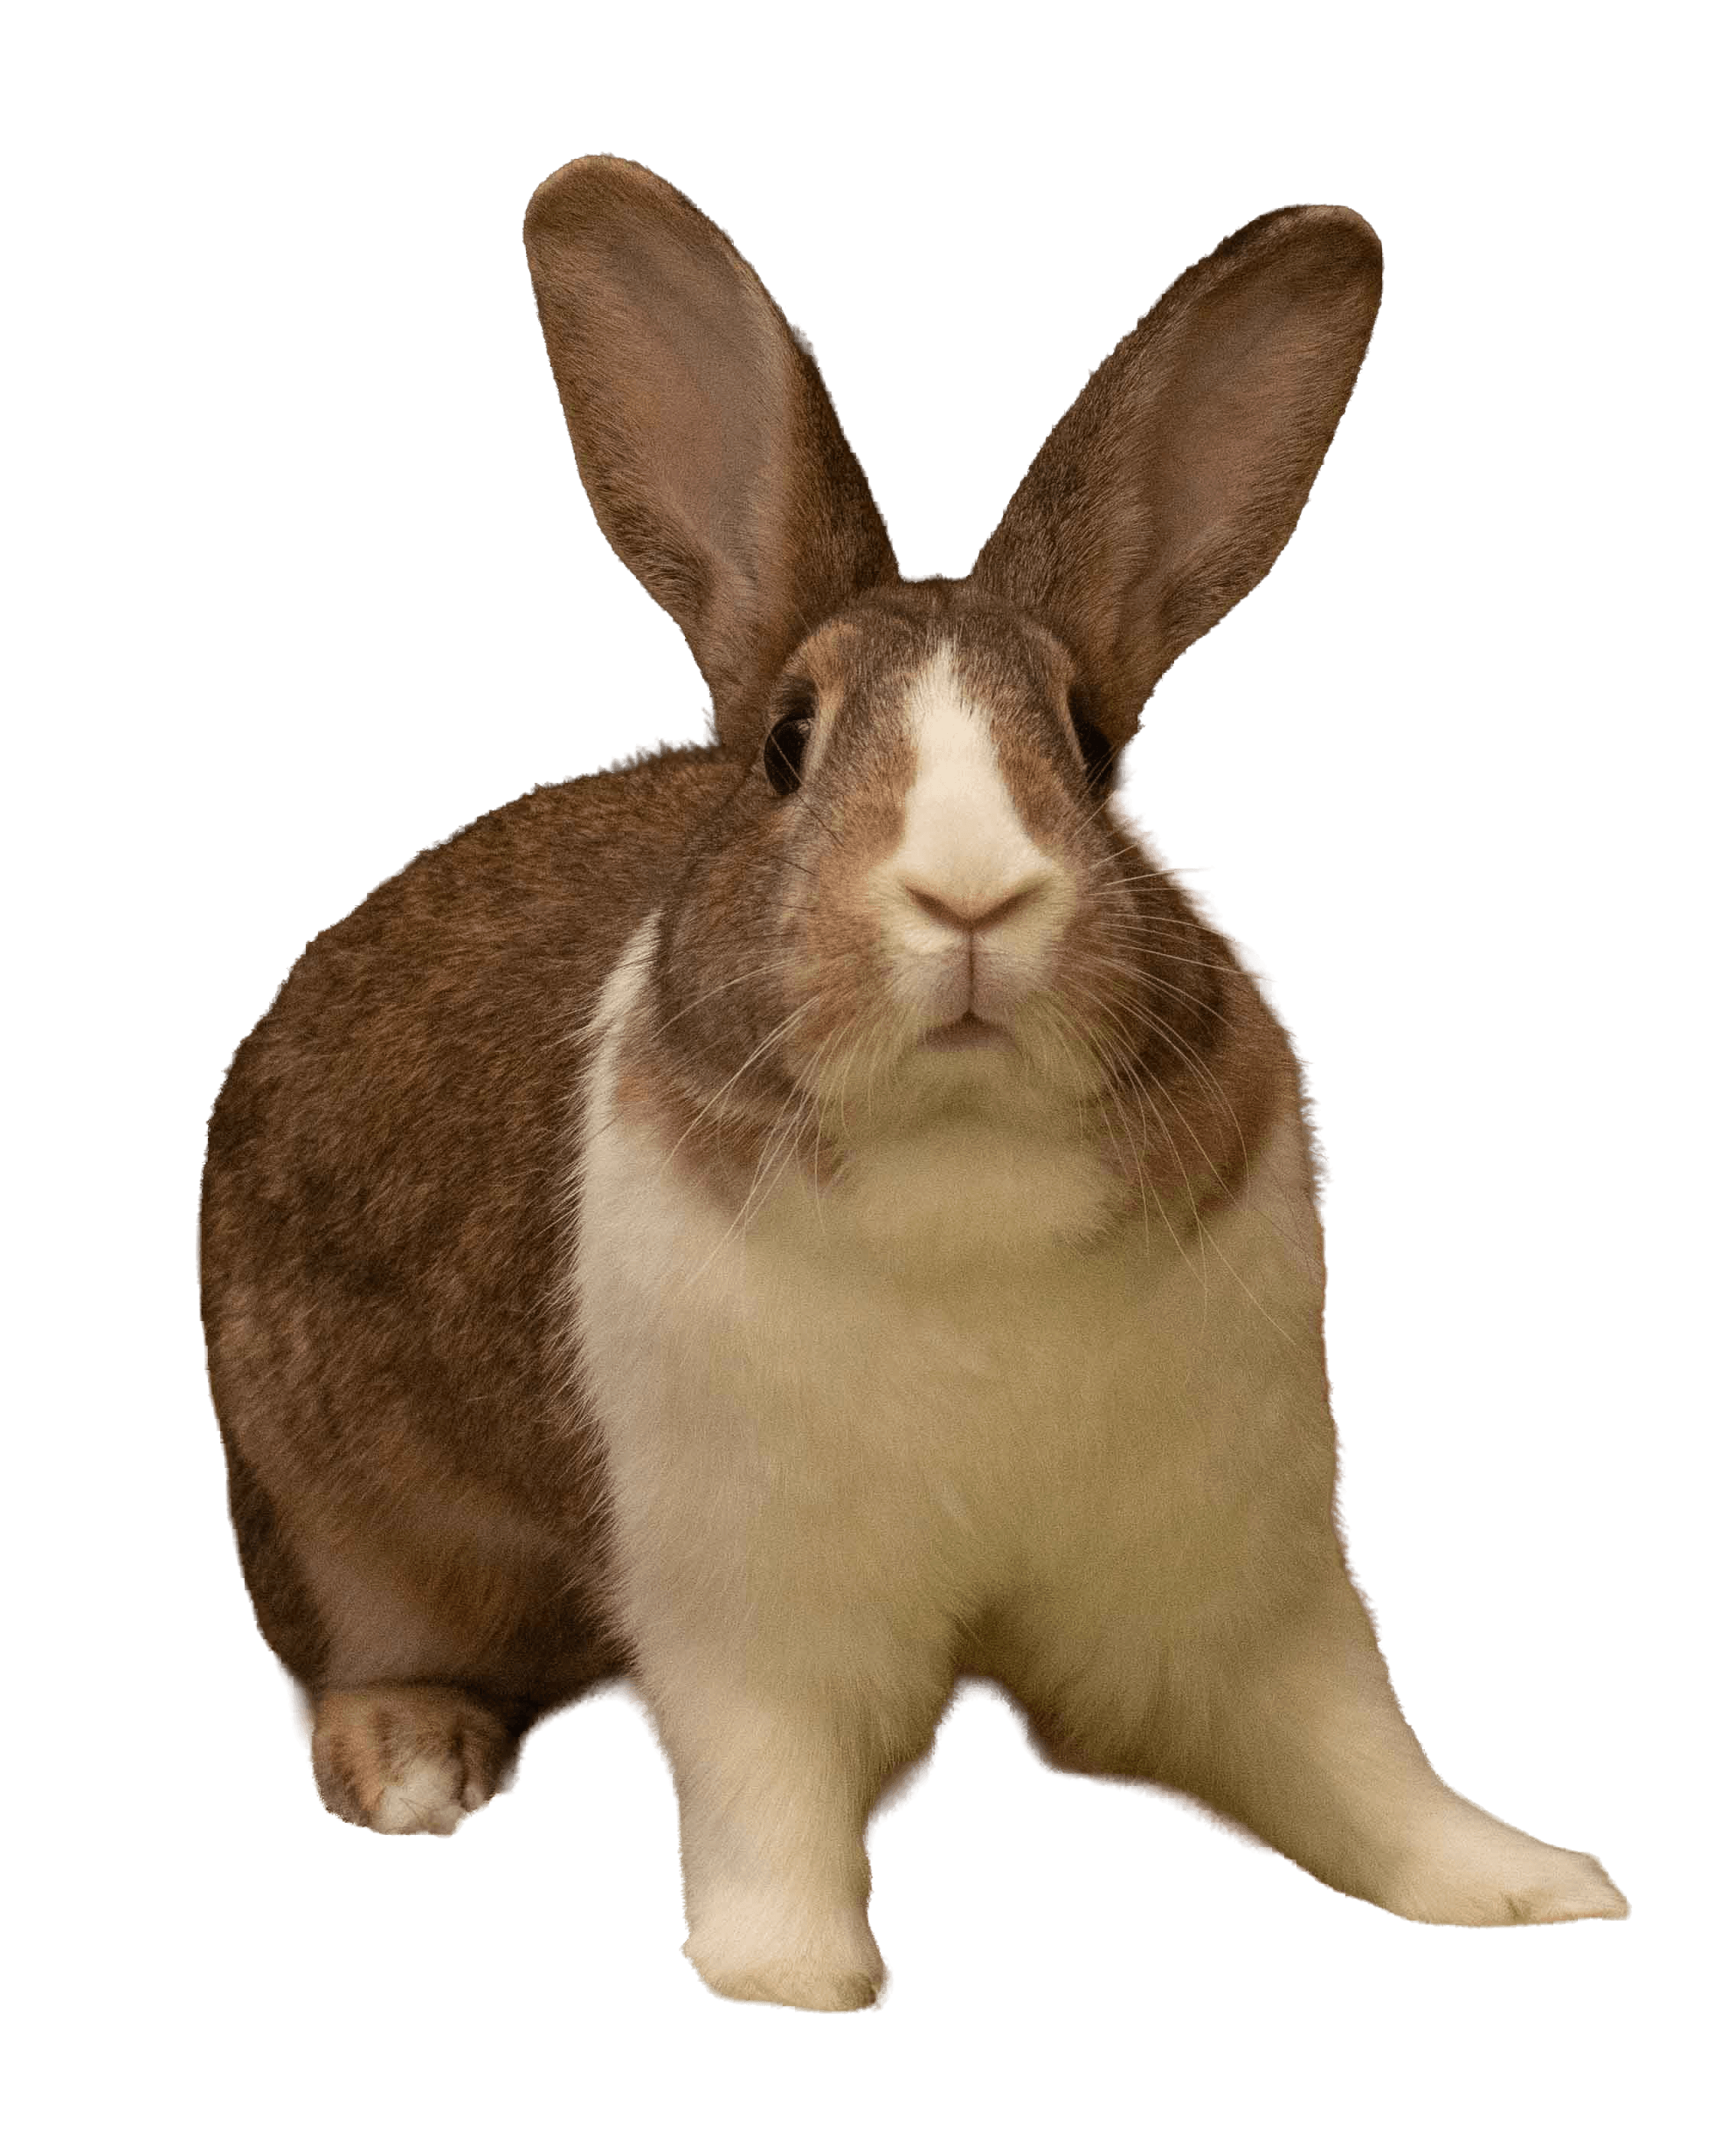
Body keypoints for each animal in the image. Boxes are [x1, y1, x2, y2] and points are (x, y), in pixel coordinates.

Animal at [197, 153, 1631, 2013]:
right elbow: (769, 1785)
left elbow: (1352, 1759)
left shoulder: (1237, 1580)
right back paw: (413, 1766)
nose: (966, 892)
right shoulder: (749, 1608)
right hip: (319, 1509)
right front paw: (798, 1975)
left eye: (1093, 749)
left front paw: (1526, 1885)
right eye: (788, 747)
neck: (967, 1171)